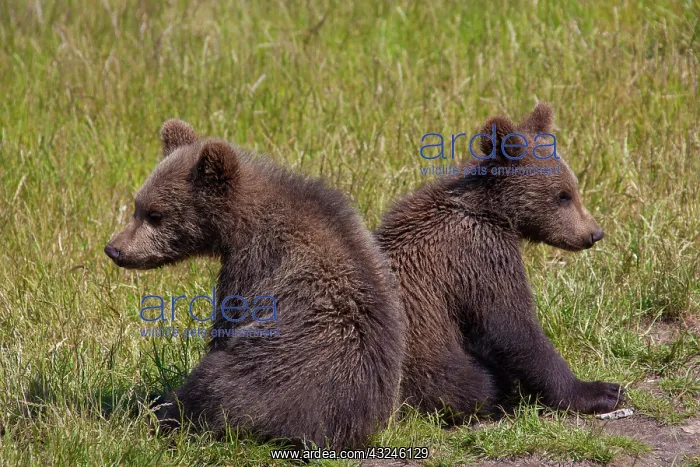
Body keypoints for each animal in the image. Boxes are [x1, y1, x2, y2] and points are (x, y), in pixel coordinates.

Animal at [104, 119, 406, 449]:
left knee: (212, 387)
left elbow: (226, 322)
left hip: (262, 372)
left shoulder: (255, 266)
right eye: (137, 205)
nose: (114, 248)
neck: (238, 225)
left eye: (155, 214)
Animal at [375, 103, 624, 420]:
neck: (493, 212)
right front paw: (600, 391)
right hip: (423, 363)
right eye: (563, 195)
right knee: (474, 384)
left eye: (574, 189)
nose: (594, 233)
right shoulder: (480, 255)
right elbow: (514, 327)